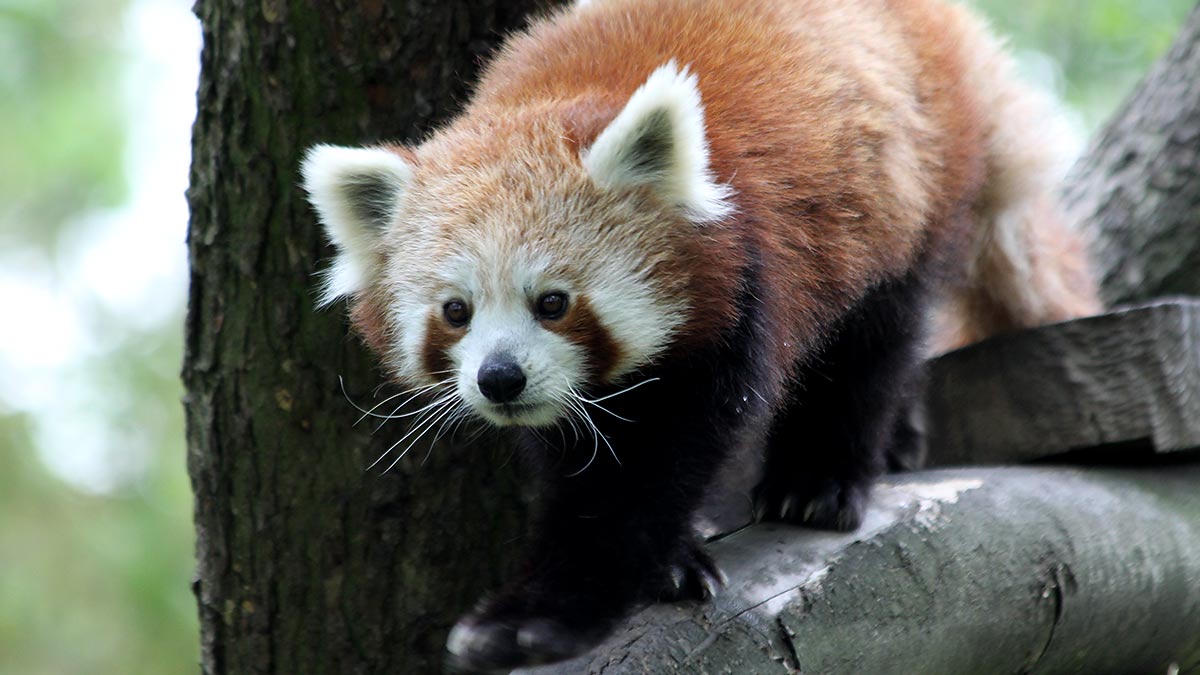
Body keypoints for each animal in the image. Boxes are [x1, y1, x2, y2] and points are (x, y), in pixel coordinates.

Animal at [297, 0, 1099, 662]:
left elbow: (653, 466)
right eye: (455, 311)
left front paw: (539, 615)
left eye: (553, 302)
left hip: (906, 188)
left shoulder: (745, 281)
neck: (555, 98)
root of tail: (943, 22)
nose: (500, 379)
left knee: (874, 341)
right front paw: (670, 562)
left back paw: (822, 477)